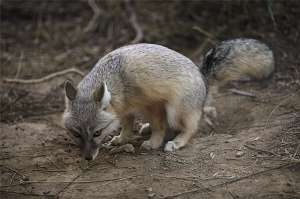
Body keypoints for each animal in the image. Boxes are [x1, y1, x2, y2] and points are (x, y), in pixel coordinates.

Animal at [62, 43, 207, 160]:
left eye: (97, 133)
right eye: (76, 134)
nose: (88, 158)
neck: (119, 82)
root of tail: (202, 77)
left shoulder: (154, 104)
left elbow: (158, 127)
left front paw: (154, 142)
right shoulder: (125, 108)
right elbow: (127, 125)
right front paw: (122, 139)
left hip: (174, 112)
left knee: (191, 128)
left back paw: (177, 141)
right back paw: (147, 128)